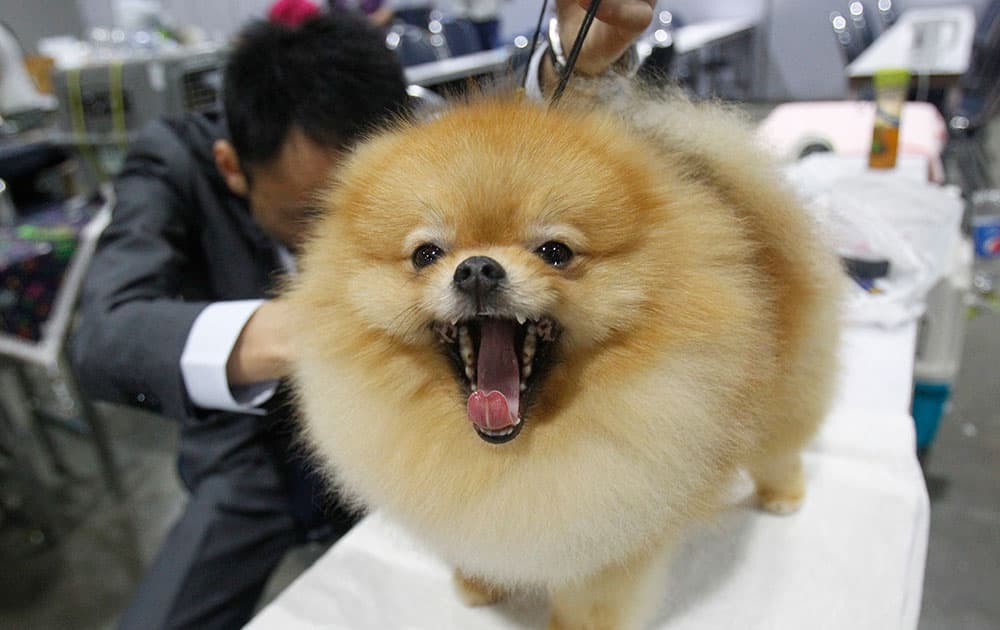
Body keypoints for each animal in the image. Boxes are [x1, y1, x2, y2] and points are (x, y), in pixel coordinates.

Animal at [288, 80, 844, 630]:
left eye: (554, 252)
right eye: (426, 254)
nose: (477, 268)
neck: (507, 450)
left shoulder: (609, 539)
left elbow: (591, 605)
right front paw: (477, 584)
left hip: (785, 390)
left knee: (780, 446)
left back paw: (782, 497)